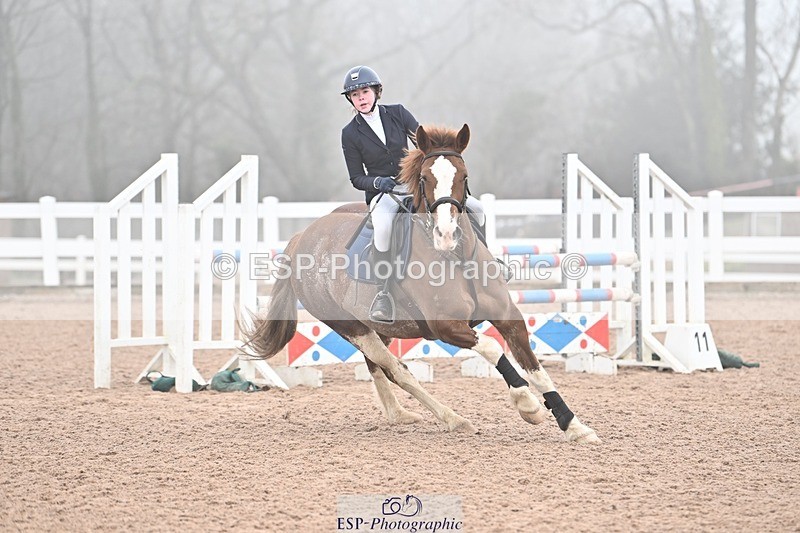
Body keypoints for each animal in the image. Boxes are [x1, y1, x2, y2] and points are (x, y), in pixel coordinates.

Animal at [243, 124, 600, 444]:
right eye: (425, 179)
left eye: (463, 177)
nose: (446, 234)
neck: (457, 259)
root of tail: (302, 237)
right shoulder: (446, 326)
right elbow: (492, 348)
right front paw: (527, 405)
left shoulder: (508, 317)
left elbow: (536, 368)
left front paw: (574, 425)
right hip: (351, 327)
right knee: (397, 370)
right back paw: (453, 419)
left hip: (378, 327)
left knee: (379, 367)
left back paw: (399, 414)